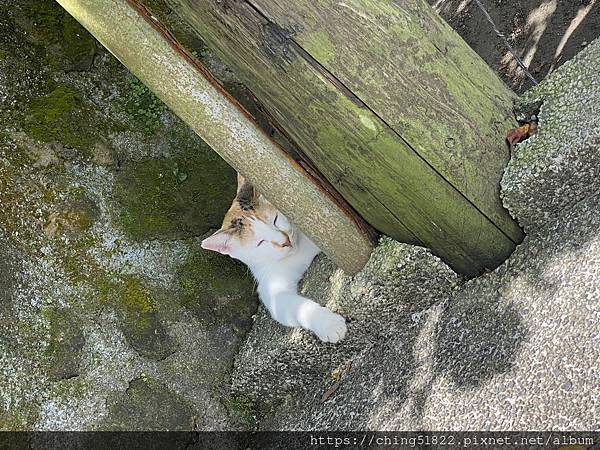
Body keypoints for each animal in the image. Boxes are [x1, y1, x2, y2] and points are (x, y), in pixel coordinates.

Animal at [200, 174, 346, 342]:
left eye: (275, 219)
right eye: (260, 242)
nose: (285, 241)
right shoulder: (271, 288)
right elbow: (296, 307)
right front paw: (328, 324)